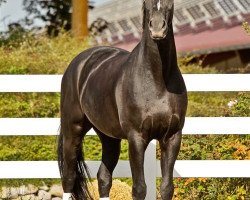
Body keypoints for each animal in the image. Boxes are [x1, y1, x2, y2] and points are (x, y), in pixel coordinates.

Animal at [58, 0, 188, 199]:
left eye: (171, 2)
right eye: (146, 2)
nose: (157, 28)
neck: (158, 81)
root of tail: (78, 63)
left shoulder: (172, 137)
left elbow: (167, 187)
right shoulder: (136, 138)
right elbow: (140, 188)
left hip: (109, 137)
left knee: (103, 178)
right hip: (73, 131)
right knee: (69, 178)